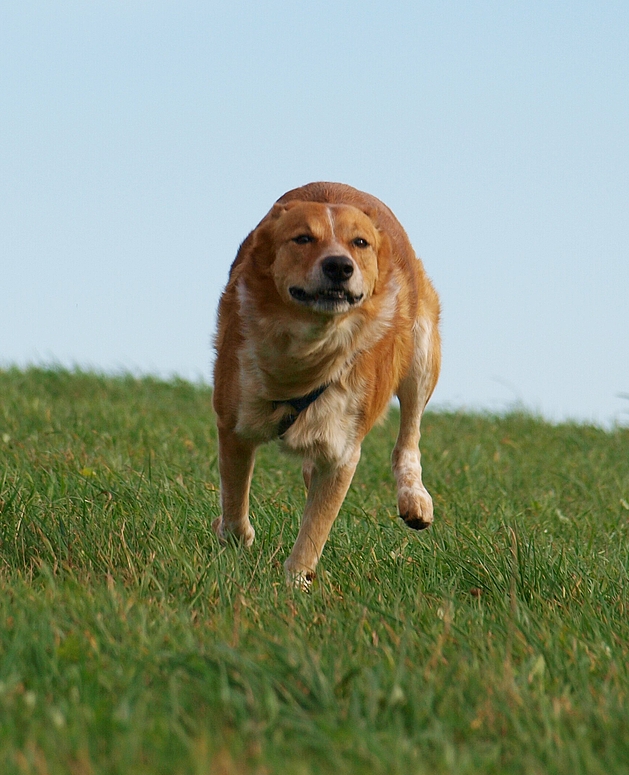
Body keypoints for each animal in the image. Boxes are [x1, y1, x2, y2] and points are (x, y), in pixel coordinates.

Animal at [213, 183, 440, 588]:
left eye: (360, 242)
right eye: (303, 238)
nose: (339, 265)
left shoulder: (343, 449)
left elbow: (316, 527)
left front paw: (294, 583)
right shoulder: (233, 420)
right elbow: (234, 494)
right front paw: (235, 536)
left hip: (422, 350)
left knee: (409, 436)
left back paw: (415, 498)